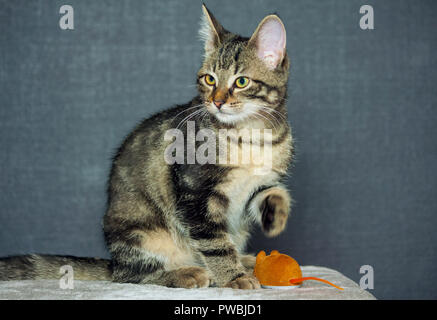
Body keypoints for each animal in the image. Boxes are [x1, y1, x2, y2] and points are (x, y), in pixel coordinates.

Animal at [1, 4, 292, 290]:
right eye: (209, 79)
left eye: (241, 81)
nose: (217, 101)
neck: (250, 136)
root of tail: (114, 261)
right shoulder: (194, 194)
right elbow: (214, 243)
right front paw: (234, 278)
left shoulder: (256, 185)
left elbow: (271, 193)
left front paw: (276, 215)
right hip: (142, 234)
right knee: (132, 275)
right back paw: (185, 273)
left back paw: (244, 259)